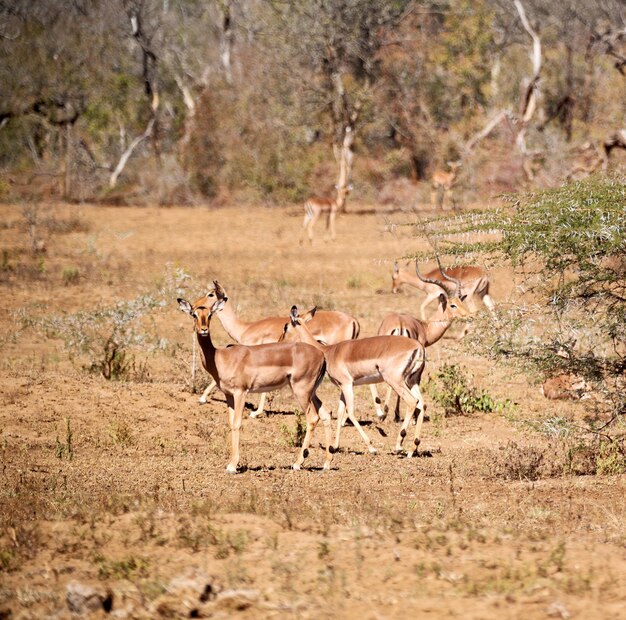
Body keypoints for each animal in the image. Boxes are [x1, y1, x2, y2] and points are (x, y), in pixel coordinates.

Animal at [177, 294, 332, 472]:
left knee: (312, 418)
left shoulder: (240, 392)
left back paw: (297, 463)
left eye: (209, 314)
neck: (220, 357)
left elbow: (237, 423)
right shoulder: (229, 395)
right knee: (325, 413)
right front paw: (231, 463)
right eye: (194, 314)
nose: (203, 330)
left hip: (301, 391)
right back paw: (326, 463)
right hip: (311, 392)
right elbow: (231, 423)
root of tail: (322, 355)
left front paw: (233, 466)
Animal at [280, 308, 426, 458]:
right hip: (412, 381)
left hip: (396, 381)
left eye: (286, 327)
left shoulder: (347, 384)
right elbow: (339, 412)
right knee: (421, 404)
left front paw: (371, 448)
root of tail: (418, 346)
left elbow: (349, 412)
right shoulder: (342, 387)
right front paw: (335, 446)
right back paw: (413, 449)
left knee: (412, 401)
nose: (280, 341)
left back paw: (398, 445)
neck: (329, 351)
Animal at [370, 262, 468, 422]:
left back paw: (385, 412)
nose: (469, 315)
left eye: (461, 301)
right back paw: (388, 412)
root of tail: (400, 324)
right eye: (452, 305)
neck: (424, 327)